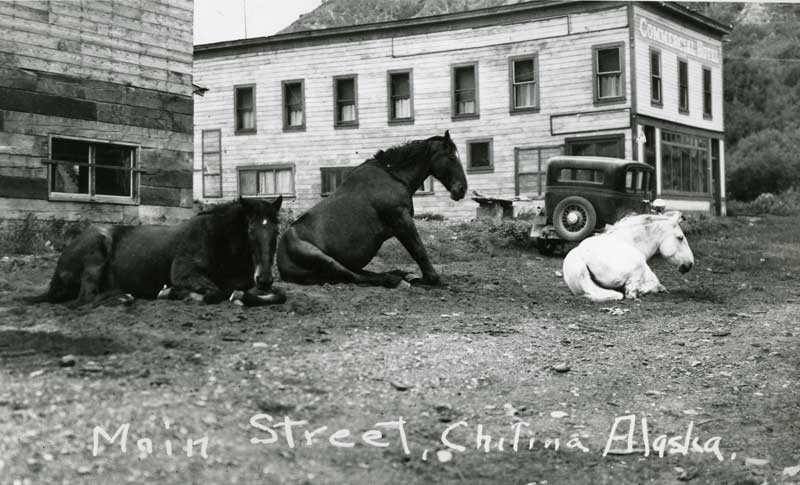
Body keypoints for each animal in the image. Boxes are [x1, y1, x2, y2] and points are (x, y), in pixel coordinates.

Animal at [29, 196, 286, 302]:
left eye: (276, 230)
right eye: (250, 230)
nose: (264, 278)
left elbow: (277, 295)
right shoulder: (185, 274)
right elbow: (216, 292)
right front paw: (175, 293)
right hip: (96, 251)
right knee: (86, 298)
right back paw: (123, 297)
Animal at [278, 130, 468, 288]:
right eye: (451, 157)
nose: (462, 189)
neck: (392, 177)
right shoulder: (402, 221)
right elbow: (418, 250)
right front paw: (432, 279)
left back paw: (401, 275)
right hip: (323, 259)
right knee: (355, 277)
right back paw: (394, 280)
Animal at [564, 210, 692, 300]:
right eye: (680, 238)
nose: (689, 265)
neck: (629, 241)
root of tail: (581, 259)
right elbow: (656, 285)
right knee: (631, 293)